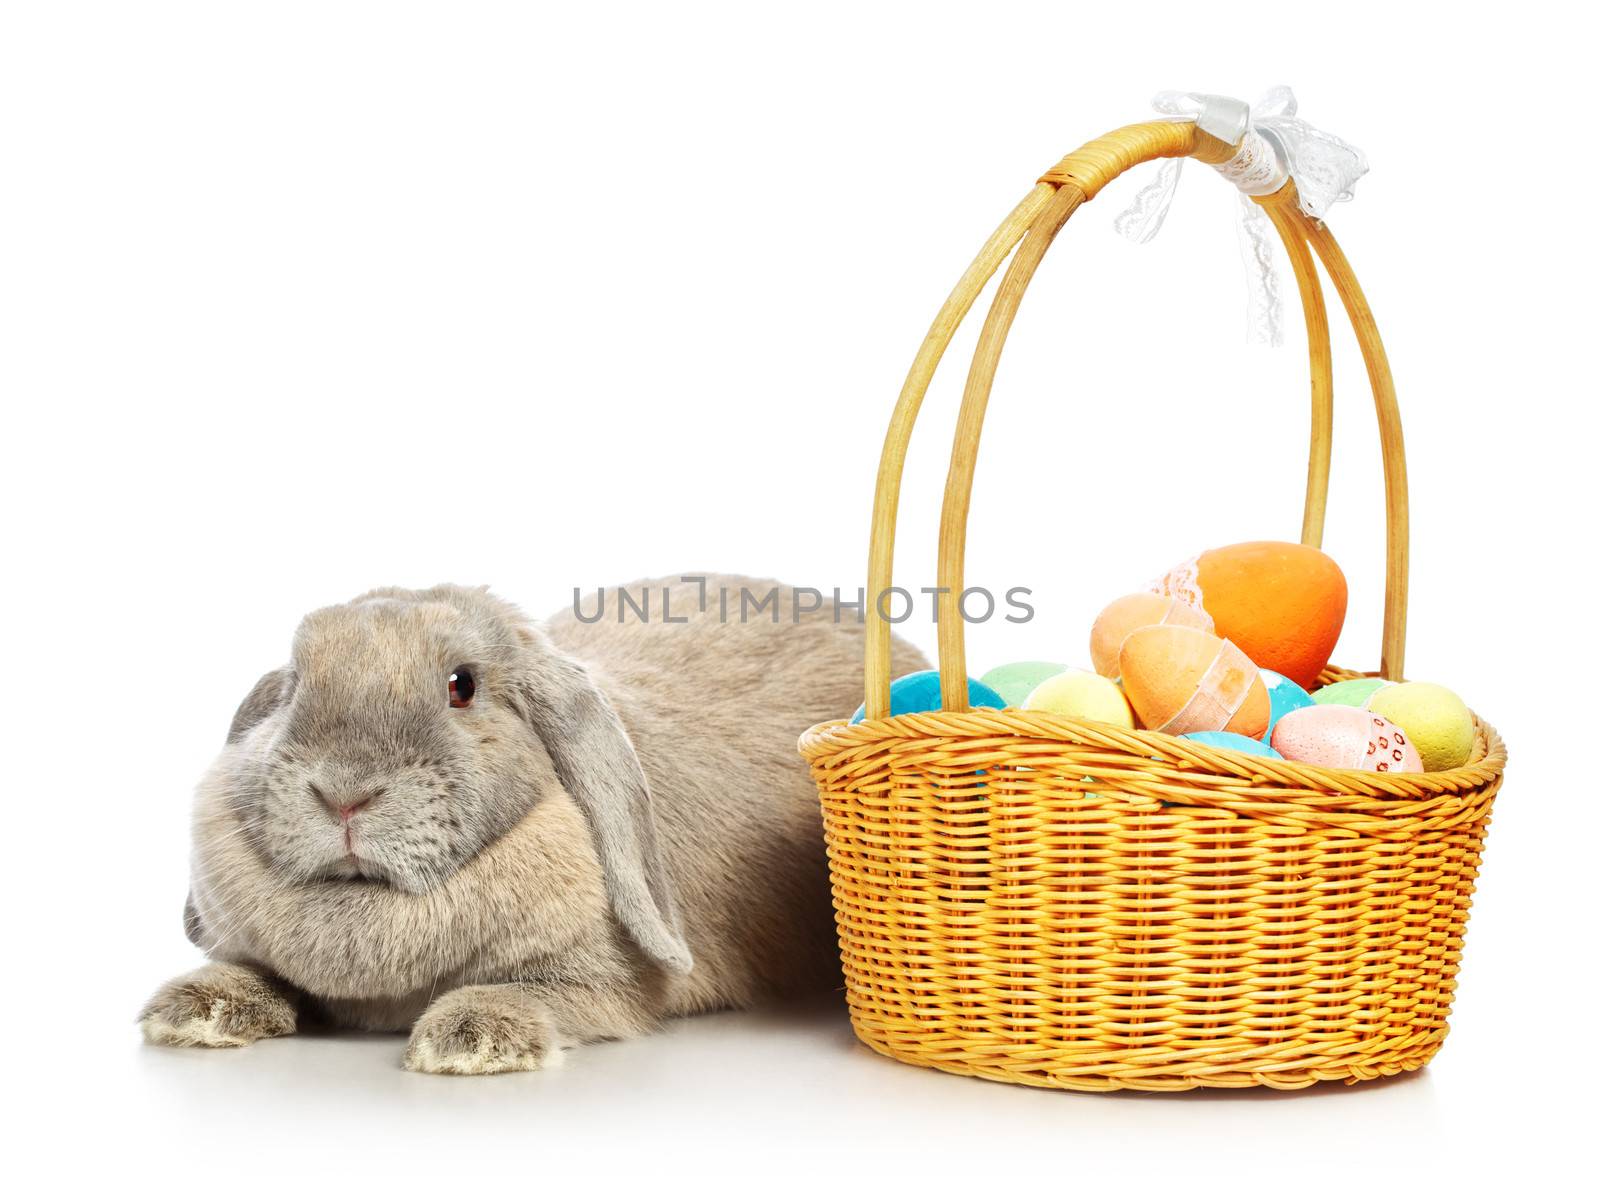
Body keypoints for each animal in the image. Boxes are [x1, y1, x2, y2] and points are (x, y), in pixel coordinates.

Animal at [145, 579, 934, 1075]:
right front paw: (192, 1010)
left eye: (462, 686)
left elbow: (529, 994)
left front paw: (468, 1043)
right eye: (294, 685)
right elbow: (258, 973)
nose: (343, 794)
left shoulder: (605, 986)